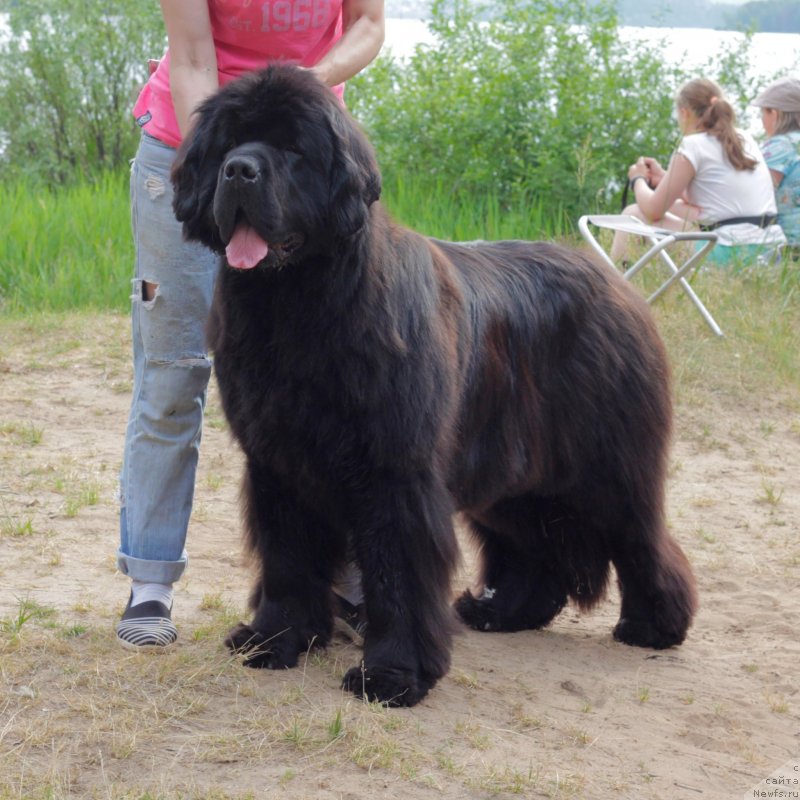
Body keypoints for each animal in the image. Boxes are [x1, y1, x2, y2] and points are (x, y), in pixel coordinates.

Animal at [172, 64, 696, 708]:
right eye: (229, 143)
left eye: (293, 149)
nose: (239, 170)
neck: (297, 303)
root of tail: (617, 284)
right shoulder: (278, 463)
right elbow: (286, 558)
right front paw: (273, 640)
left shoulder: (394, 471)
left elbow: (397, 572)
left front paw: (393, 675)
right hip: (512, 472)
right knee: (536, 544)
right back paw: (503, 612)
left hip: (607, 467)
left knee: (642, 537)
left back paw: (654, 626)